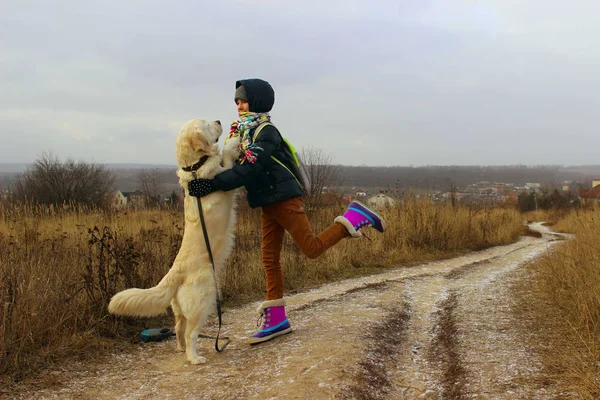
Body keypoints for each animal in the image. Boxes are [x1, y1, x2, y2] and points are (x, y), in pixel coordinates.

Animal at [109, 117, 240, 364]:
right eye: (206, 125)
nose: (218, 120)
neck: (195, 169)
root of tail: (173, 274)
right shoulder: (225, 179)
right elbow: (226, 161)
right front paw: (233, 143)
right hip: (204, 301)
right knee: (190, 334)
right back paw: (195, 358)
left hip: (180, 310)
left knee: (178, 329)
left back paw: (180, 350)